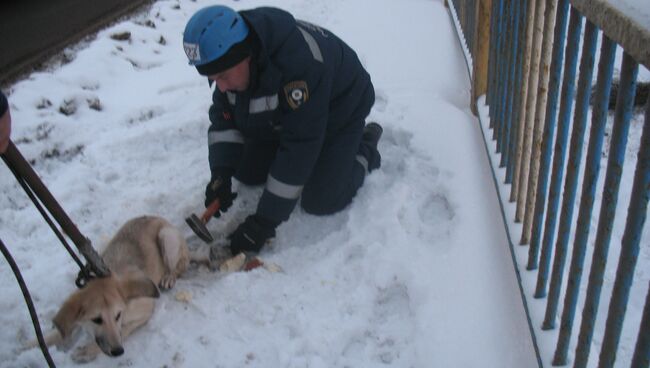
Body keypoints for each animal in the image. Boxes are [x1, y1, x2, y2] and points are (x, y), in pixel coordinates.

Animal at [44, 216, 187, 362]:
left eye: (118, 315)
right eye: (96, 319)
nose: (118, 351)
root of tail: (158, 218)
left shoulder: (145, 312)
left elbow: (123, 330)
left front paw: (88, 350)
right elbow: (62, 327)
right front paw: (42, 341)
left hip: (166, 237)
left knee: (179, 267)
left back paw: (169, 277)